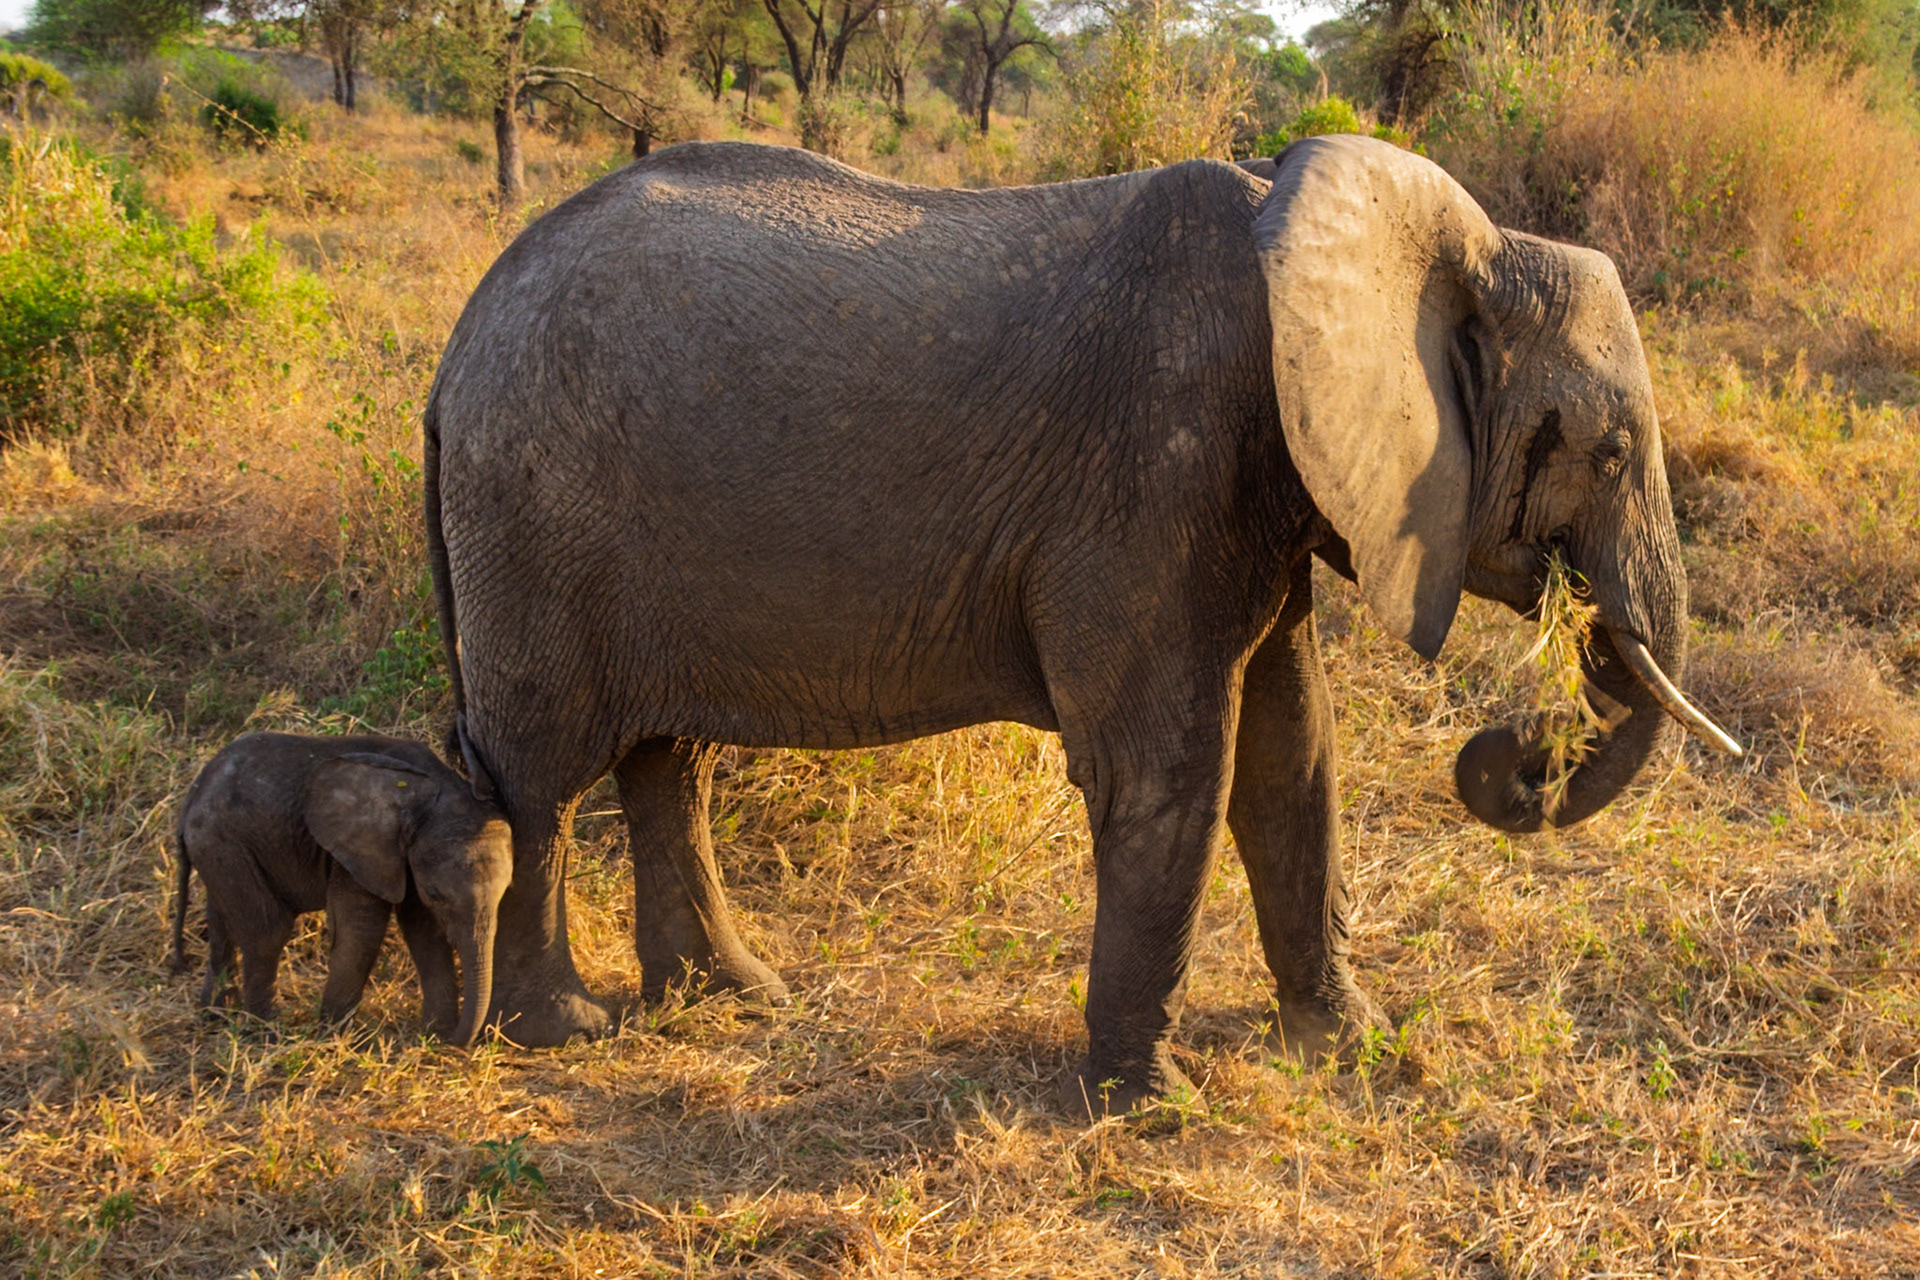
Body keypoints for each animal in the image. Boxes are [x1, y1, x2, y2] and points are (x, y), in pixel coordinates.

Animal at [171, 732, 513, 1047]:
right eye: (437, 895)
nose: (458, 1041)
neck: (435, 789)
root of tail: (192, 796)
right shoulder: (356, 851)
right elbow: (362, 929)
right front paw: (341, 1036)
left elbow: (423, 931)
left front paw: (434, 1034)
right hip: (222, 840)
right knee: (268, 930)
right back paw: (265, 1033)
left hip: (218, 846)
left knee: (222, 923)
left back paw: (215, 1015)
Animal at [422, 134, 1740, 1110]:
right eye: (1609, 451)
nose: (1513, 749)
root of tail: (454, 352)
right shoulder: (1162, 461)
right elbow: (1170, 768)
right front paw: (1151, 1106)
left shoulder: (1260, 479)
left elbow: (1293, 752)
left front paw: (1348, 1044)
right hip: (534, 503)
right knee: (539, 771)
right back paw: (562, 1030)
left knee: (667, 758)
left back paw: (736, 997)